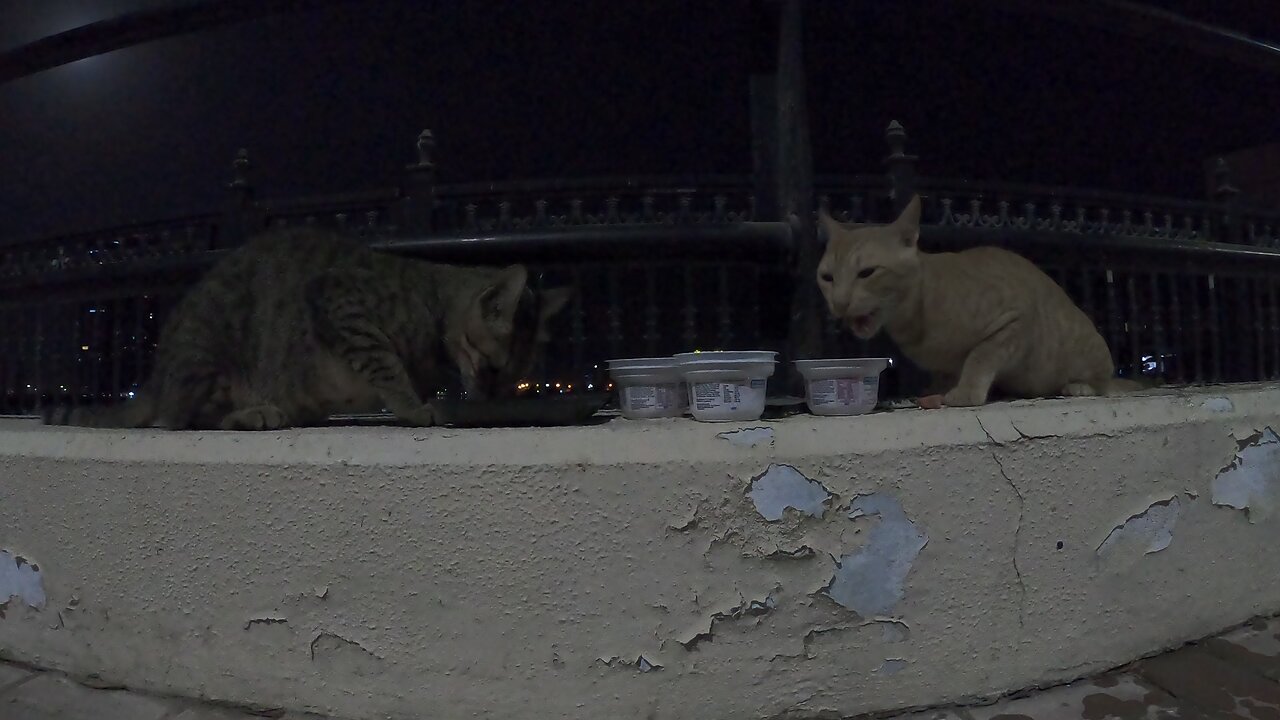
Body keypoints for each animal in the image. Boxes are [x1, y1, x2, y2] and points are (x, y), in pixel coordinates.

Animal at [45, 226, 573, 425]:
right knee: (182, 420)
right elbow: (386, 365)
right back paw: (254, 414)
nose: (491, 398)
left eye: (516, 378)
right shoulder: (342, 303)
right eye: (492, 367)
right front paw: (413, 405)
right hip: (210, 350)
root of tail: (155, 380)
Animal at [819, 193, 1152, 407]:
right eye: (827, 278)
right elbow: (946, 372)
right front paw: (938, 388)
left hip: (1089, 347)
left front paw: (965, 391)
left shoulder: (1014, 321)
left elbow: (980, 356)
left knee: (1102, 384)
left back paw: (1079, 386)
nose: (839, 302)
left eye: (867, 272)